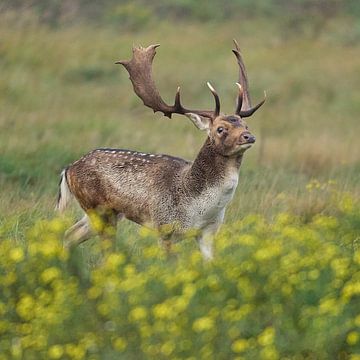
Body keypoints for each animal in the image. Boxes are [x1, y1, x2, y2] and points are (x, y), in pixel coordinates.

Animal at [55, 40, 264, 258]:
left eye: (245, 125)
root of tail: (68, 169)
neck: (199, 209)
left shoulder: (208, 232)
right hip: (99, 209)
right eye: (220, 129)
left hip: (102, 214)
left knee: (70, 234)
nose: (249, 136)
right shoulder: (164, 227)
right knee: (104, 249)